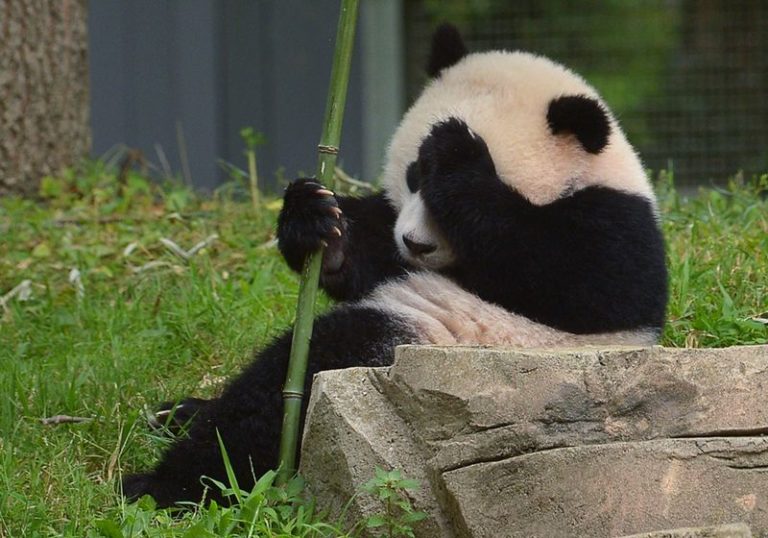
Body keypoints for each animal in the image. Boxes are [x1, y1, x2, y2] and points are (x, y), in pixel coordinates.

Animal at [122, 24, 667, 507]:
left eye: (439, 190)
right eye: (412, 175)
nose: (415, 244)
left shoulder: (614, 228)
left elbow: (570, 278)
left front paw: (458, 150)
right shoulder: (392, 238)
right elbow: (368, 254)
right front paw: (316, 221)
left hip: (435, 351)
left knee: (291, 383)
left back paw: (167, 484)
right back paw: (179, 414)